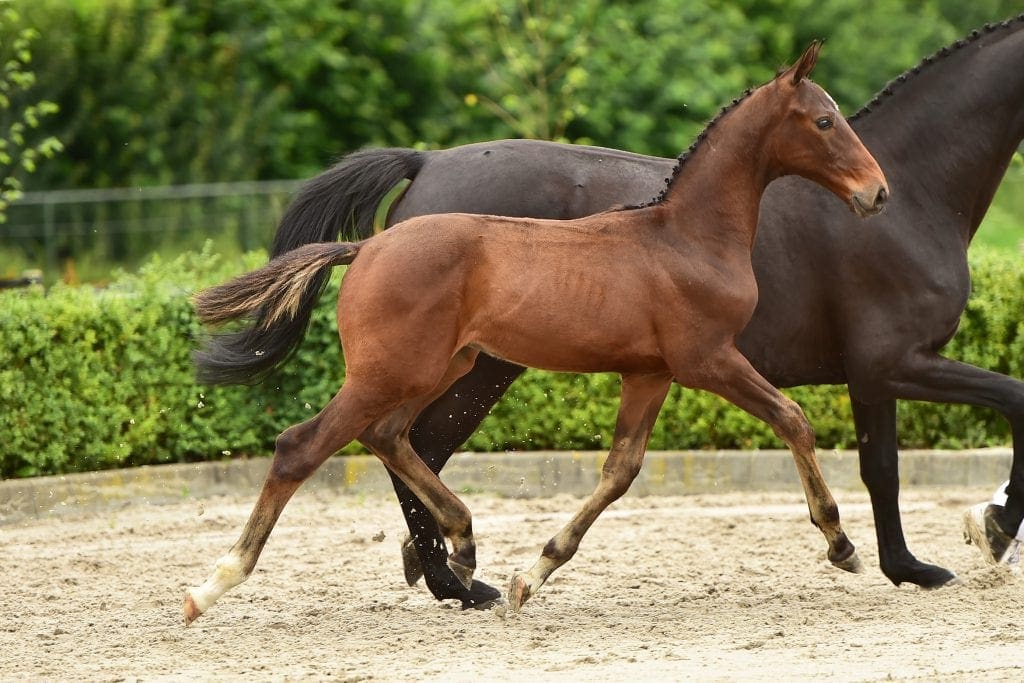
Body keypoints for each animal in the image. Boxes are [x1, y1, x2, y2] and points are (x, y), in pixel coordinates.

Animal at [250, 15, 1024, 608]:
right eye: (825, 120)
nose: (875, 193)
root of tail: (423, 168)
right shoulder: (866, 361)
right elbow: (920, 423)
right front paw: (961, 533)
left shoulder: (846, 372)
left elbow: (876, 463)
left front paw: (915, 560)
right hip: (452, 369)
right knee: (381, 443)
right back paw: (443, 577)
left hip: (455, 366)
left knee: (400, 441)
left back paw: (449, 569)